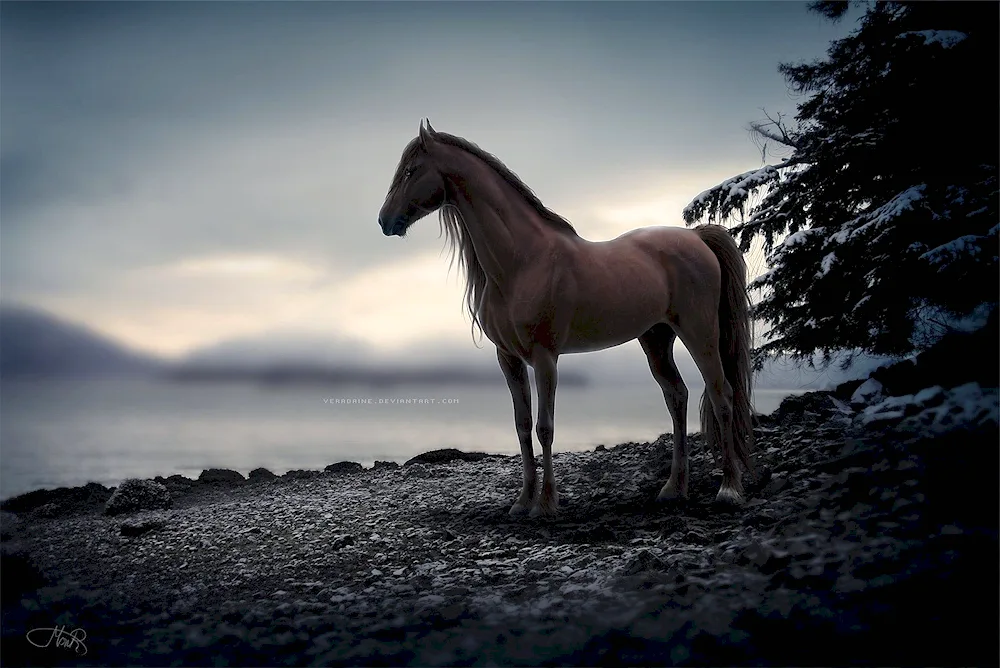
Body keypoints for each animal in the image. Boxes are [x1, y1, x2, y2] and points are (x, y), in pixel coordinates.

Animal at [378, 120, 752, 516]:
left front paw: (545, 504)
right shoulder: (508, 359)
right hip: (656, 338)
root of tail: (697, 237)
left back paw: (729, 489)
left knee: (721, 395)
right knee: (677, 397)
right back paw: (673, 489)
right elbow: (522, 426)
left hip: (700, 333)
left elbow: (545, 427)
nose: (385, 220)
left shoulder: (545, 358)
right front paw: (522, 502)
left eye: (410, 170)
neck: (523, 261)